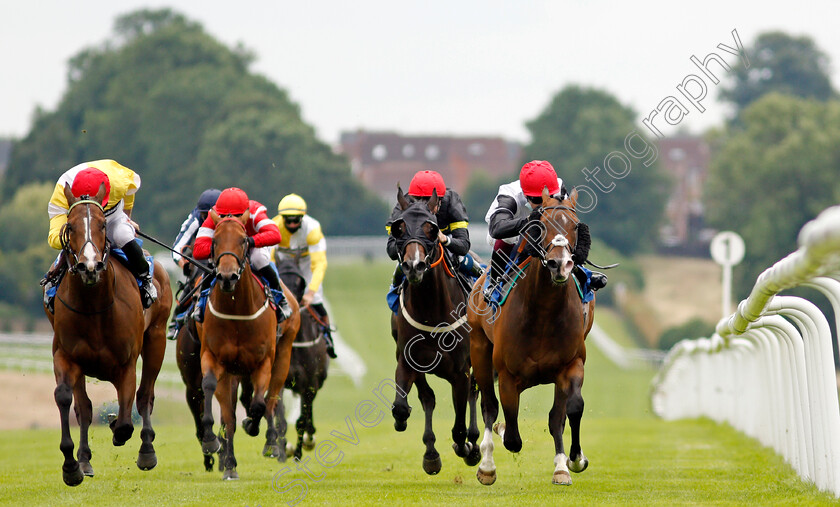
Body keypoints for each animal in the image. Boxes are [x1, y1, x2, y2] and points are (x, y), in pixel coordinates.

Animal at [46, 184, 172, 488]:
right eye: (70, 226)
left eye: (103, 224)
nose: (89, 266)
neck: (94, 308)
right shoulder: (65, 356)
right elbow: (66, 398)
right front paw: (71, 466)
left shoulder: (126, 363)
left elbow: (127, 419)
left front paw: (119, 428)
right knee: (84, 407)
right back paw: (84, 460)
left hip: (157, 339)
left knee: (145, 394)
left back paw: (146, 450)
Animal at [195, 210, 300, 480]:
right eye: (214, 241)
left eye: (243, 240)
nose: (227, 276)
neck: (236, 309)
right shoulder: (214, 357)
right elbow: (213, 392)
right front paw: (212, 442)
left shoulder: (264, 362)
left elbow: (259, 404)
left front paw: (253, 425)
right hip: (234, 372)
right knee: (232, 411)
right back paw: (230, 462)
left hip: (283, 355)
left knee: (271, 399)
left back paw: (271, 442)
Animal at [388, 187, 480, 476]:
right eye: (400, 227)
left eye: (432, 228)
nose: (413, 266)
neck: (431, 310)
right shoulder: (408, 360)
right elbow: (407, 405)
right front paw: (429, 453)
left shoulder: (460, 371)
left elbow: (460, 425)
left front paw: (467, 447)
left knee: (475, 393)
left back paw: (475, 446)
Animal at [466, 189, 596, 486]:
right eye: (543, 226)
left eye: (575, 226)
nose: (560, 264)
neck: (544, 312)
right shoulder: (507, 373)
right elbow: (512, 435)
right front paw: (498, 440)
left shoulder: (571, 364)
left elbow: (568, 411)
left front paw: (570, 462)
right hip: (480, 349)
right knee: (489, 405)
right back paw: (487, 466)